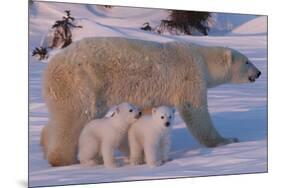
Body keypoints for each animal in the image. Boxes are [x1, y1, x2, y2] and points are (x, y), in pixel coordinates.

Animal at [41, 36, 260, 166]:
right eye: (247, 61)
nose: (258, 73)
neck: (201, 59)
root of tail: (51, 67)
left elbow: (148, 114)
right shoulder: (189, 77)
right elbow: (196, 111)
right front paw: (228, 140)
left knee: (59, 117)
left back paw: (44, 144)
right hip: (82, 82)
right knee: (75, 117)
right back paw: (63, 159)